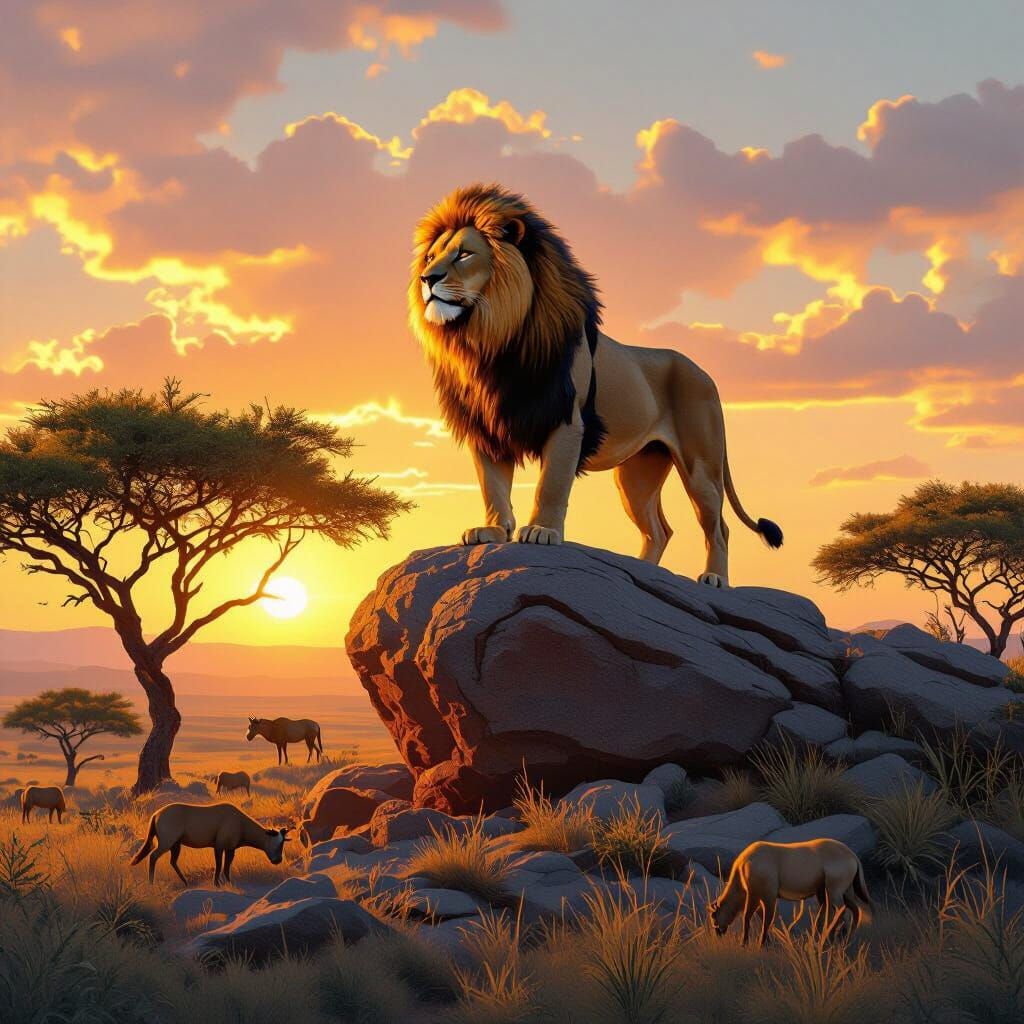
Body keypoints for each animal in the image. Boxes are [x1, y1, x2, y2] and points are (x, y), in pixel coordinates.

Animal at [408, 183, 782, 586]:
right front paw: (492, 531)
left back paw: (714, 579)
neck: (490, 341)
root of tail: (706, 375)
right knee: (659, 529)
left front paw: (542, 531)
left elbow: (551, 483)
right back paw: (643, 572)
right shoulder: (487, 427)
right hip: (637, 474)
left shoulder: (567, 421)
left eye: (464, 253)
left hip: (701, 467)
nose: (427, 278)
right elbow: (492, 486)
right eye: (431, 256)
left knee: (718, 527)